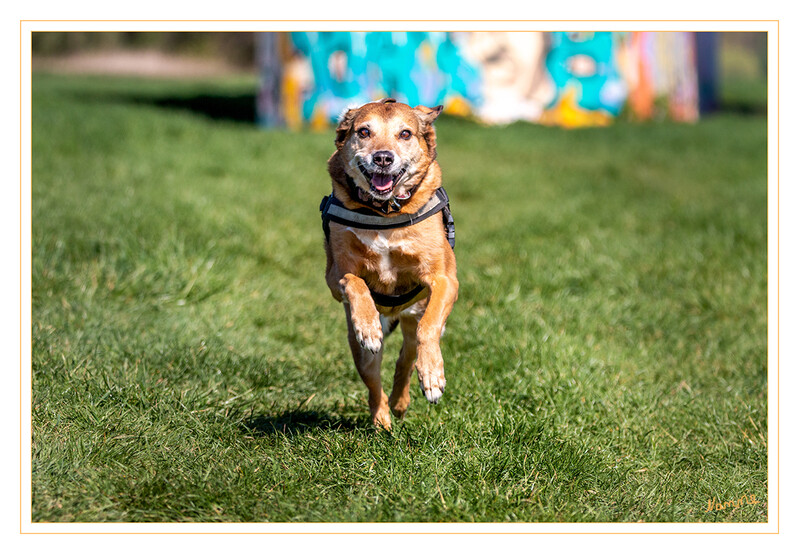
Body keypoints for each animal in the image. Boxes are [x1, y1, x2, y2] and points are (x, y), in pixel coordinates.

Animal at [322, 98, 460, 426]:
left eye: (405, 134)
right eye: (364, 131)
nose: (383, 158)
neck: (384, 212)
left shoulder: (445, 279)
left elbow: (429, 328)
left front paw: (433, 377)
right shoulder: (335, 276)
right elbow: (354, 281)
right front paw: (368, 326)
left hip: (414, 319)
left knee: (405, 359)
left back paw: (401, 401)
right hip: (362, 354)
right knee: (374, 383)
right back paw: (382, 419)